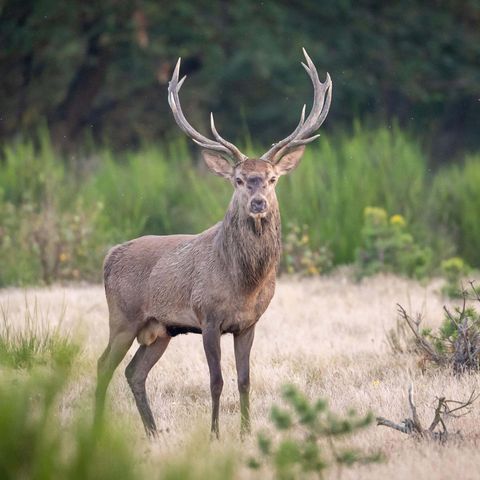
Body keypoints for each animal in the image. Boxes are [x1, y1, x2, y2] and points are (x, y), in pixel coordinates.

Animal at [95, 49, 332, 438]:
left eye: (272, 178)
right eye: (238, 180)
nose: (258, 203)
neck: (245, 284)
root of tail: (110, 255)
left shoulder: (248, 323)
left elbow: (245, 380)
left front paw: (247, 432)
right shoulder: (207, 317)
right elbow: (216, 381)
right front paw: (215, 434)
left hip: (160, 329)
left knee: (134, 372)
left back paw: (153, 432)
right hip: (123, 316)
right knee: (103, 365)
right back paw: (98, 426)